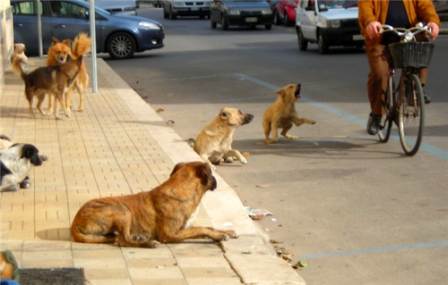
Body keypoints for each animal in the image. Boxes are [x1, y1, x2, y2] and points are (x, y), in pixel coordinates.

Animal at [71, 160, 238, 246]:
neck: (182, 189)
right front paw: (219, 236)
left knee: (118, 238)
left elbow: (208, 226)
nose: (216, 180)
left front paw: (226, 231)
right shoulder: (170, 234)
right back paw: (148, 243)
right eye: (212, 173)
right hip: (122, 210)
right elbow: (201, 229)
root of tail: (74, 223)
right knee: (123, 240)